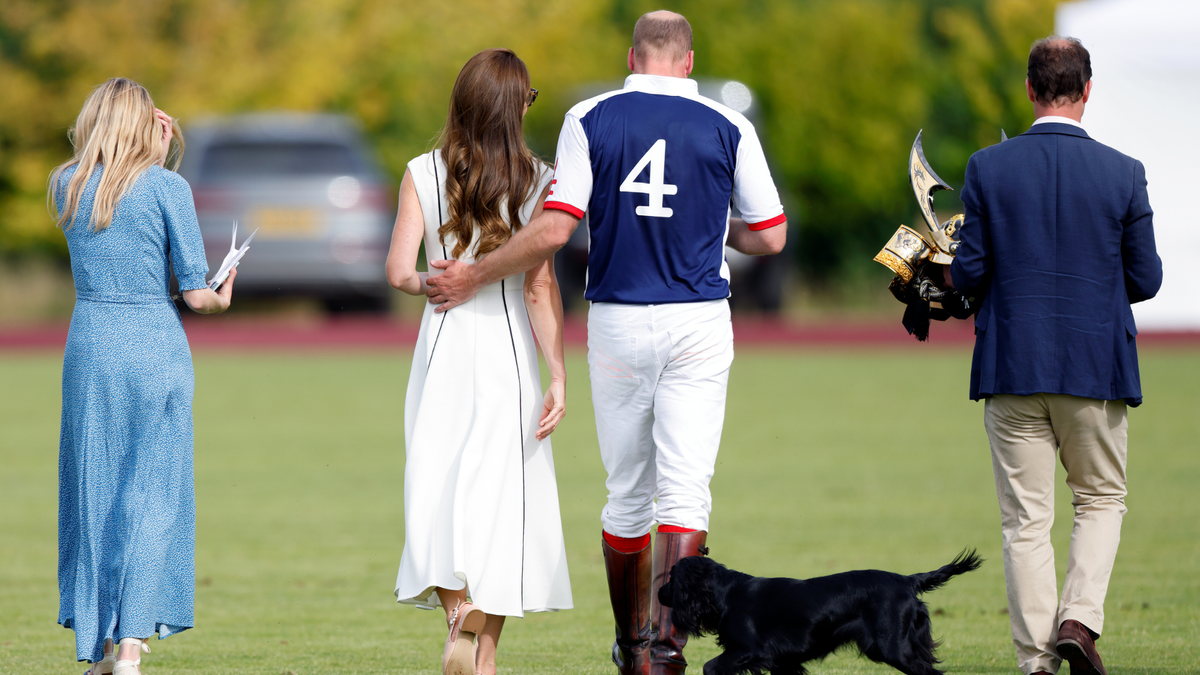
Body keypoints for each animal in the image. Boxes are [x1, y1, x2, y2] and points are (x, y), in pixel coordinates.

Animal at [657, 550, 984, 667]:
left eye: (672, 577)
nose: (658, 593)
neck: (726, 594)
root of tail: (907, 579)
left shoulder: (749, 651)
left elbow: (711, 666)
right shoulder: (782, 662)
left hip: (894, 648)